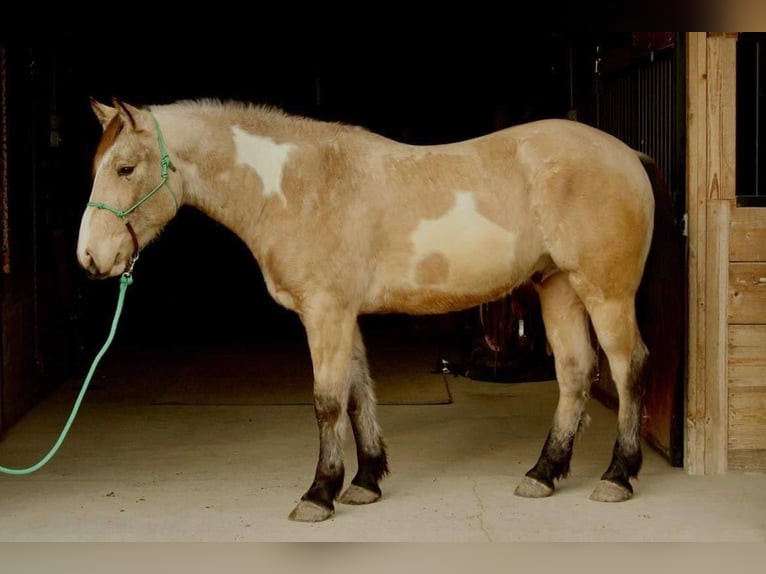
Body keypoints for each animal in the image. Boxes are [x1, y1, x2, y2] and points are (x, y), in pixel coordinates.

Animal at [75, 98, 668, 520]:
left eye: (125, 168)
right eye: (97, 166)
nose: (90, 258)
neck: (298, 186)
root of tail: (626, 155)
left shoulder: (326, 313)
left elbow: (327, 401)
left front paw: (319, 494)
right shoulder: (344, 316)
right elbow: (359, 394)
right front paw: (364, 483)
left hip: (606, 292)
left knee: (628, 367)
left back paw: (616, 476)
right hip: (558, 287)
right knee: (574, 372)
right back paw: (543, 473)